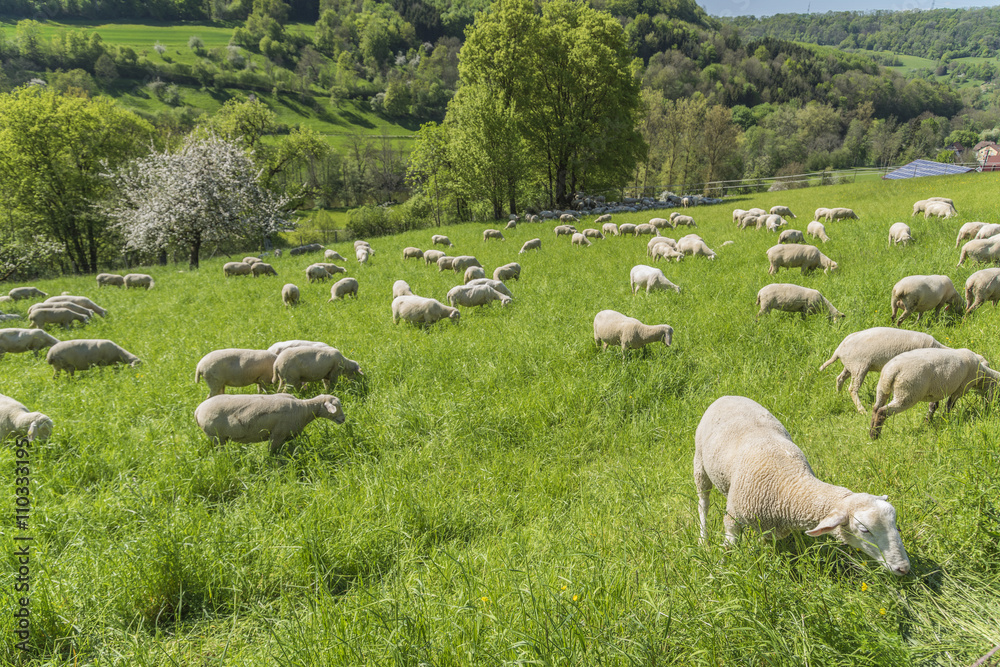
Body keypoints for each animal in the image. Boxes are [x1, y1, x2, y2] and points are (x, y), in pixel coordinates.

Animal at [195, 393, 345, 455]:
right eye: (336, 406)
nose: (343, 419)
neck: (304, 409)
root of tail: (198, 410)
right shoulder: (277, 435)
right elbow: (272, 452)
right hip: (215, 436)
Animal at [694, 395, 911, 576]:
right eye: (864, 530)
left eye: (895, 524)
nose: (904, 568)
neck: (789, 482)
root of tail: (727, 395)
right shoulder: (733, 517)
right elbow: (729, 547)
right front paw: (720, 571)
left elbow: (766, 542)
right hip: (699, 464)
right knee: (703, 503)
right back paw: (703, 538)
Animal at [870, 348, 1000, 439]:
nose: (991, 407)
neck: (983, 375)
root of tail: (892, 371)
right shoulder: (961, 388)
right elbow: (949, 405)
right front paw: (946, 419)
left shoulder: (937, 390)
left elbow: (933, 406)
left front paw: (928, 422)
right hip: (907, 394)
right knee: (882, 411)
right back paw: (875, 435)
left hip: (882, 388)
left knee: (875, 408)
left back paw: (871, 431)